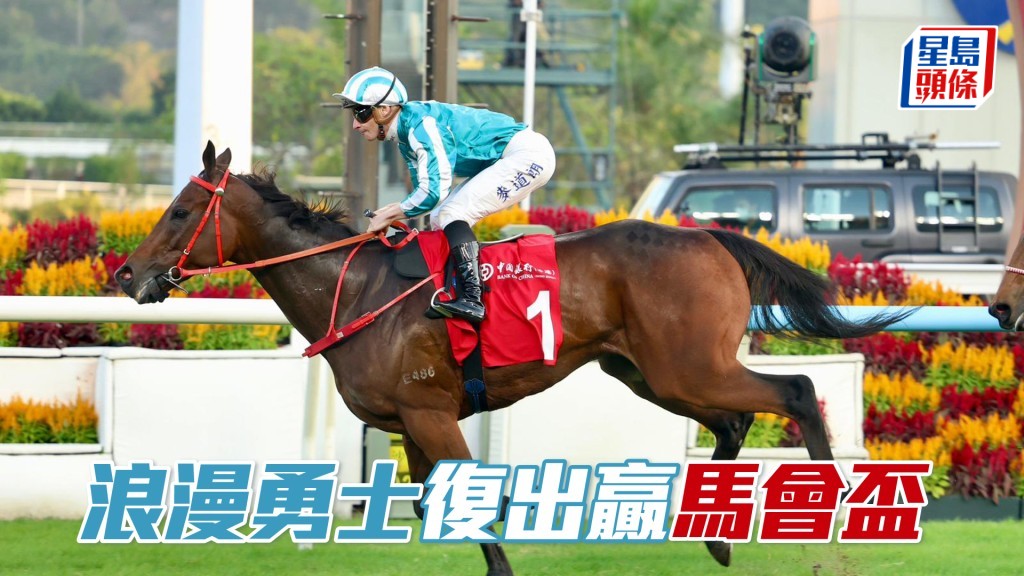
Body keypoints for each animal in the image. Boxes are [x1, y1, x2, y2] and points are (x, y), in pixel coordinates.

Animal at [115, 142, 909, 574]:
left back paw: (833, 508)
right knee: (734, 424)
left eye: (180, 212)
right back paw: (715, 540)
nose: (127, 274)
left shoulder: (430, 412)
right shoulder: (415, 423)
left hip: (689, 365)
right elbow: (440, 505)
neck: (358, 290)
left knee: (796, 390)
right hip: (648, 372)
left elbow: (470, 503)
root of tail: (709, 235)